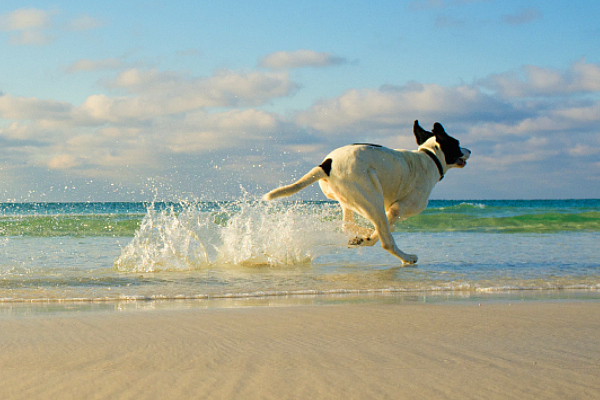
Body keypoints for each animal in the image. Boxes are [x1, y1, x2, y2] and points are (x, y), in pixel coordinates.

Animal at [264, 122, 472, 266]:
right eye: (457, 143)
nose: (469, 150)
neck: (430, 157)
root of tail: (326, 164)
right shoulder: (397, 208)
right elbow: (383, 232)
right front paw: (368, 238)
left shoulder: (390, 210)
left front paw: (364, 236)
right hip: (372, 199)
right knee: (386, 240)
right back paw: (406, 257)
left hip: (351, 199)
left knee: (348, 224)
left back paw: (361, 234)